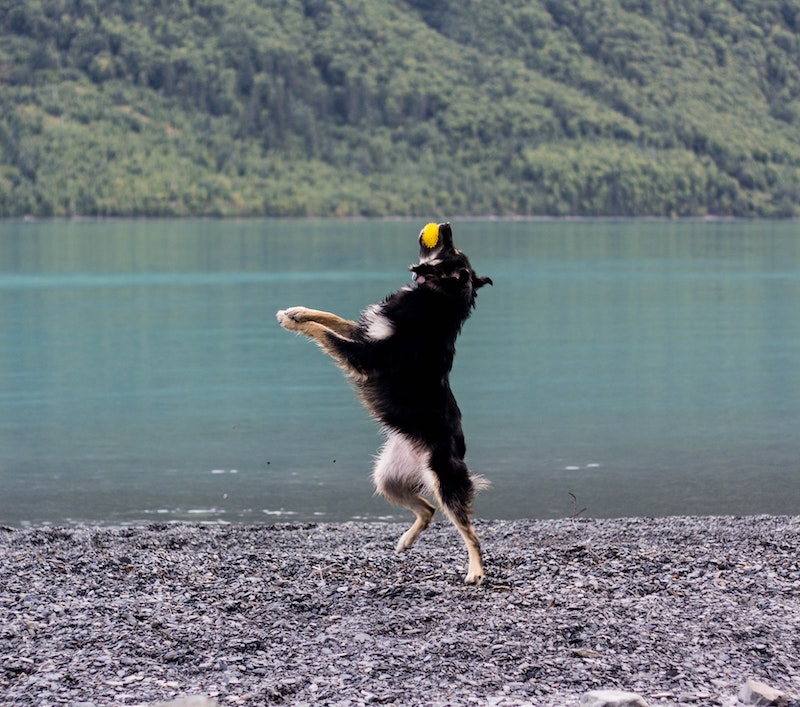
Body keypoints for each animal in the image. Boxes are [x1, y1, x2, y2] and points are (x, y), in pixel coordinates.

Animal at [280, 223, 494, 588]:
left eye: (451, 250)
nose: (446, 225)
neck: (437, 298)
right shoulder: (365, 334)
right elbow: (330, 318)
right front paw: (298, 311)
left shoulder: (364, 357)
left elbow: (324, 332)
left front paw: (294, 322)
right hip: (387, 479)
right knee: (428, 510)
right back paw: (407, 540)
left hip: (444, 482)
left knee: (470, 533)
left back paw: (475, 571)